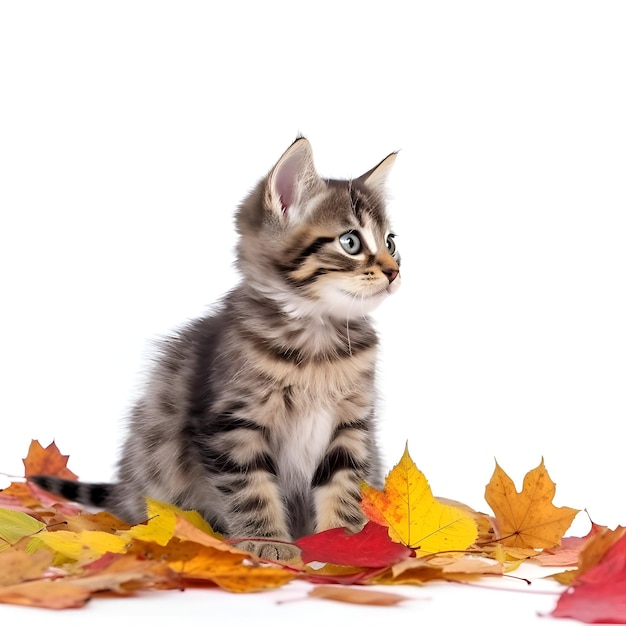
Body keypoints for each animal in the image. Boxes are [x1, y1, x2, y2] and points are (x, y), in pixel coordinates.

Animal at [30, 139, 400, 560]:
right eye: (350, 242)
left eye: (391, 242)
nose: (394, 271)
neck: (317, 342)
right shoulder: (232, 425)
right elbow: (252, 491)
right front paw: (268, 542)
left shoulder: (351, 425)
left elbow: (345, 487)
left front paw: (346, 545)